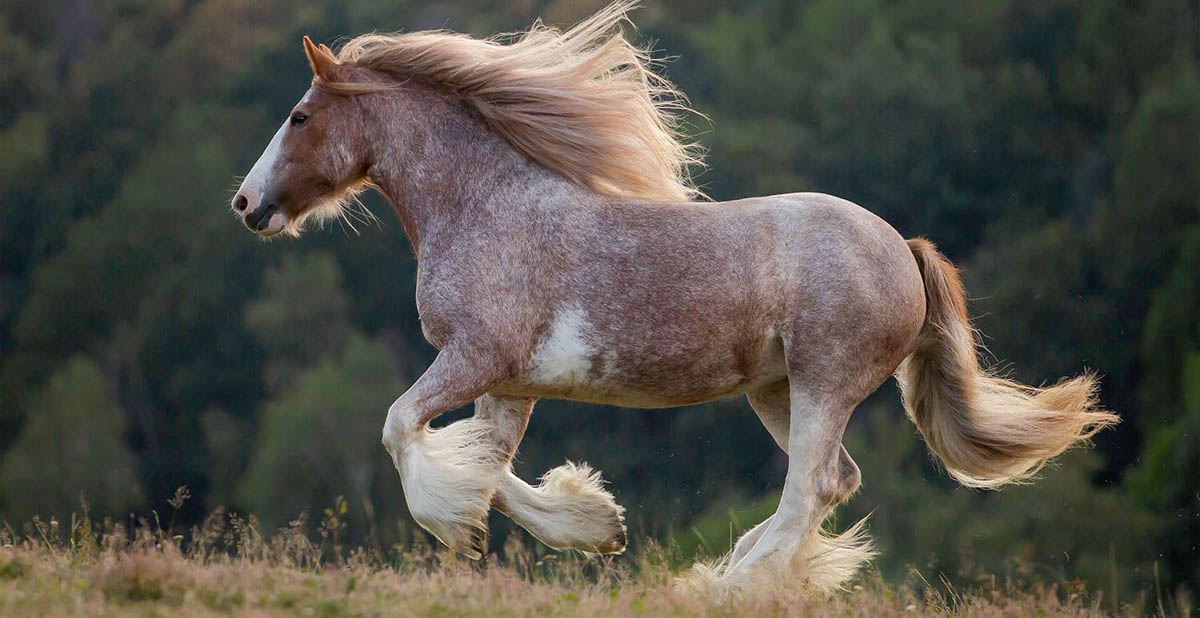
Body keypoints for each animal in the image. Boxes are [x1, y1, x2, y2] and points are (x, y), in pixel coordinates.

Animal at [231, 1, 1113, 595]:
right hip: (776, 389)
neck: (486, 205)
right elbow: (491, 466)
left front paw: (456, 525)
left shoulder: (476, 355)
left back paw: (721, 587)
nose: (246, 204)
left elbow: (399, 428)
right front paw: (596, 529)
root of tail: (902, 246)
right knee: (834, 482)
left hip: (824, 381)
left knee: (810, 486)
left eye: (300, 115)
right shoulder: (507, 383)